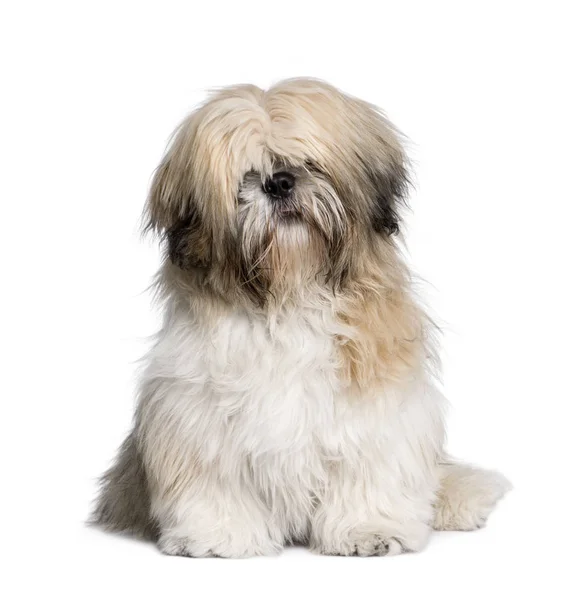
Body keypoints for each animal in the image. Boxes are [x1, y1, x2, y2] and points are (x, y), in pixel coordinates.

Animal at [92, 78, 510, 556]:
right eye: (246, 175)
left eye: (309, 162)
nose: (278, 183)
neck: (289, 295)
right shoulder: (194, 410)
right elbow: (216, 479)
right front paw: (218, 535)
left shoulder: (377, 403)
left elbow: (370, 469)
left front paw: (369, 529)